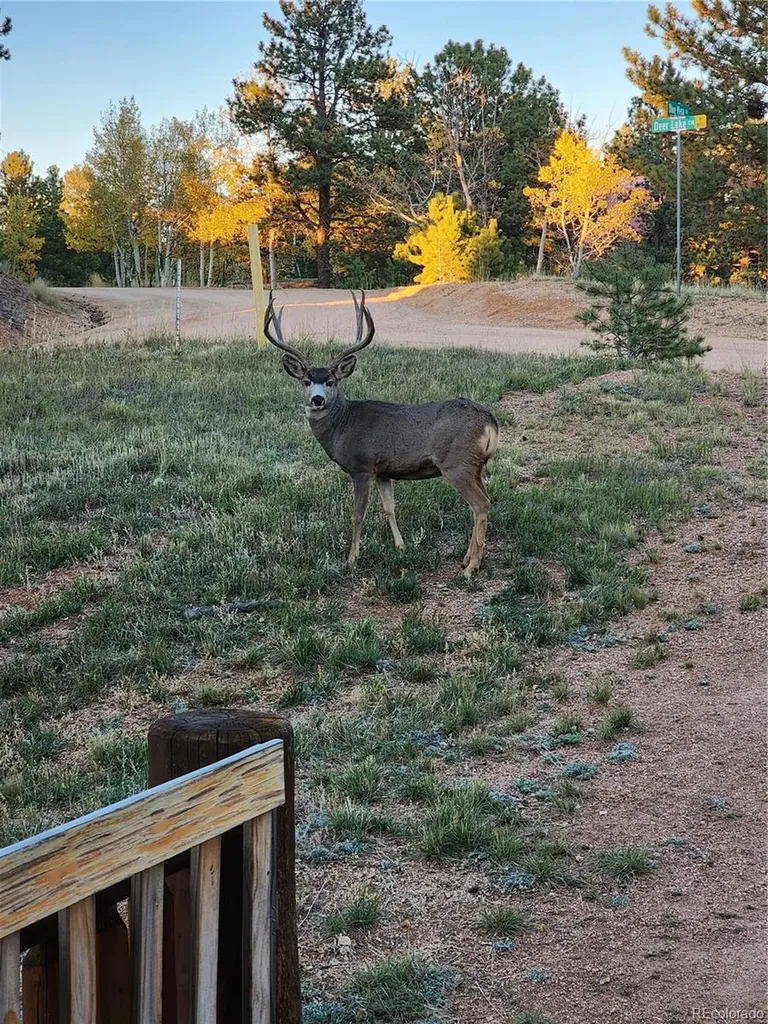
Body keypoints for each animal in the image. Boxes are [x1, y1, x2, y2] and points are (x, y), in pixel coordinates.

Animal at [264, 291, 499, 576]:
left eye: (331, 381)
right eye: (306, 381)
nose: (317, 400)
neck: (343, 426)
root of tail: (489, 420)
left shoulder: (361, 466)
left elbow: (358, 514)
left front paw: (352, 558)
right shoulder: (384, 470)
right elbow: (389, 508)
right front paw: (401, 546)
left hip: (457, 462)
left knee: (480, 505)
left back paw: (471, 567)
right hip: (476, 466)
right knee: (482, 503)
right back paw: (466, 559)